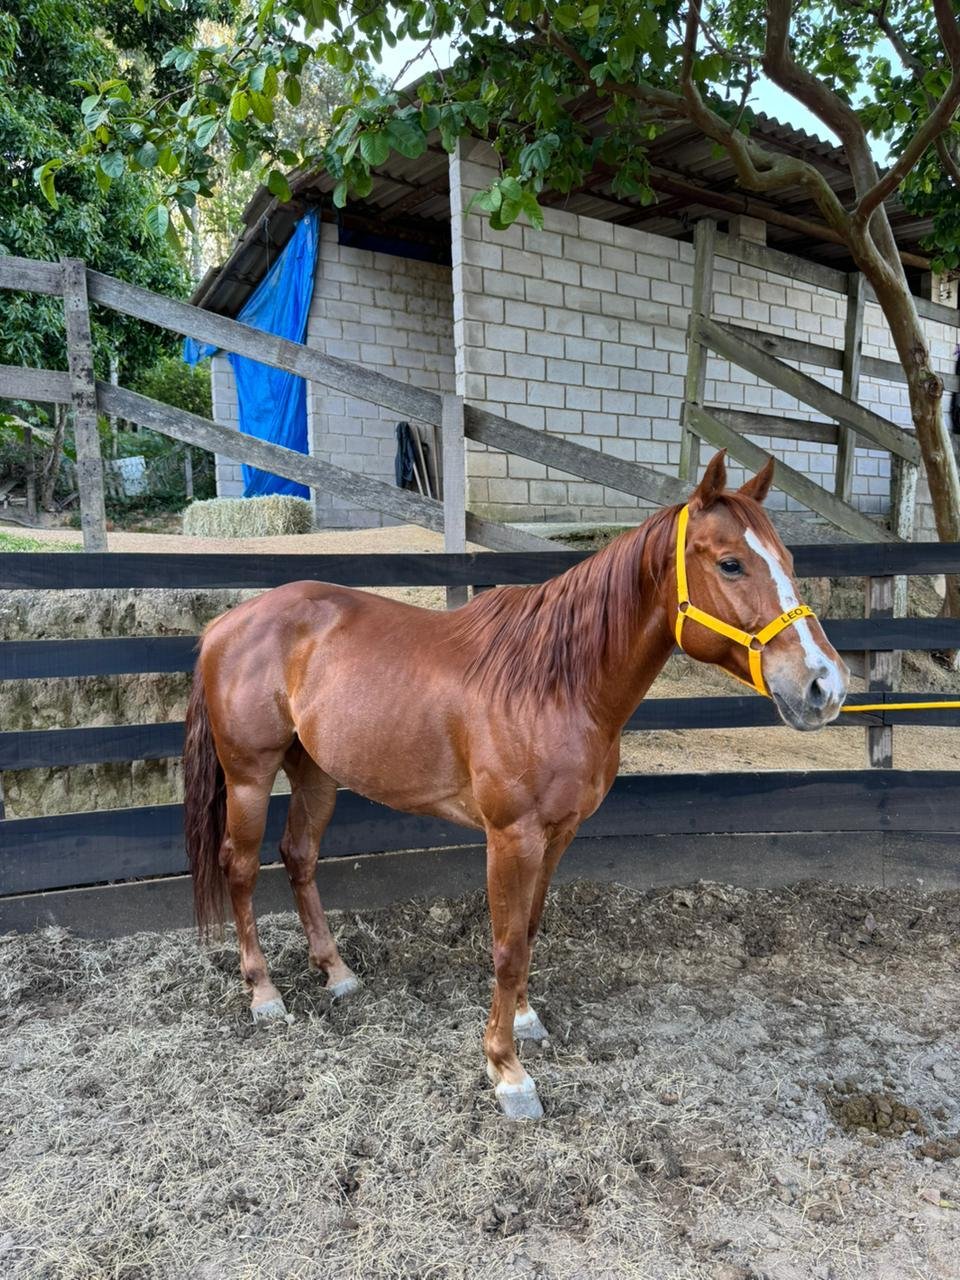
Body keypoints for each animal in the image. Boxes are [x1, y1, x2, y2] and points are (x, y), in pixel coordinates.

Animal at [182, 451, 848, 1119]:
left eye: (789, 562)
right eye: (731, 563)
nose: (825, 685)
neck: (555, 685)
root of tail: (225, 624)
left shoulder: (558, 835)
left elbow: (528, 929)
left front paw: (525, 1023)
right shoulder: (510, 838)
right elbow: (505, 948)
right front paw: (507, 1071)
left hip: (315, 773)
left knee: (299, 857)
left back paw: (337, 973)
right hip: (249, 776)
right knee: (241, 868)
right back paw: (264, 993)